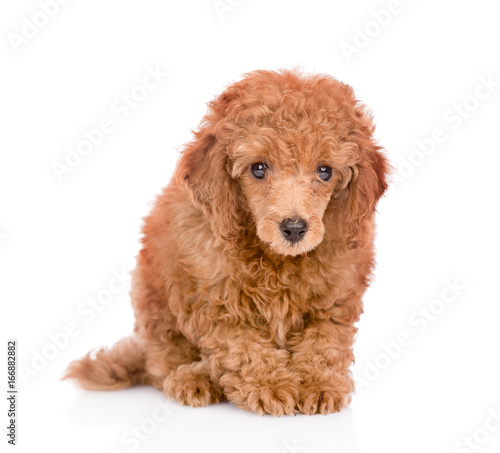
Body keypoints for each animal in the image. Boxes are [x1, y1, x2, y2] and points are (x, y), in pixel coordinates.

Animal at [64, 69, 388, 414]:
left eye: (325, 171)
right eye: (258, 168)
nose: (294, 228)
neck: (276, 259)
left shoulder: (336, 298)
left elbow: (323, 343)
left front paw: (319, 384)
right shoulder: (216, 304)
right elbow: (244, 349)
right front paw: (271, 385)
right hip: (153, 299)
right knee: (162, 359)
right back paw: (193, 377)